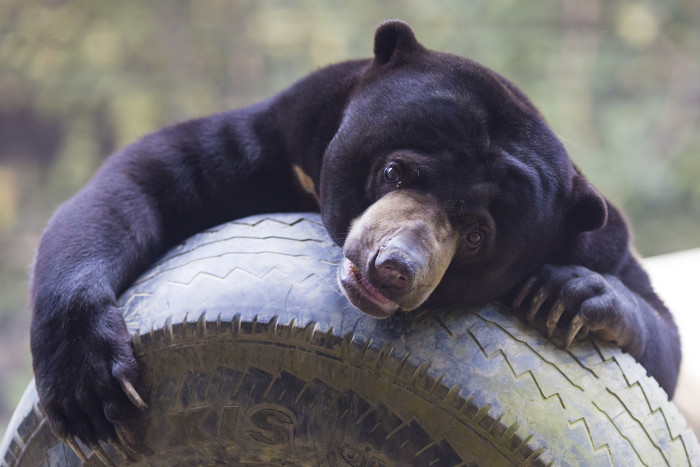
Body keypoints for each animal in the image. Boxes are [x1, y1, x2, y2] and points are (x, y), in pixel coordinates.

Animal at [30, 20, 680, 448]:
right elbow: (142, 180)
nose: (393, 267)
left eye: (476, 234)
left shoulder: (599, 236)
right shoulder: (275, 143)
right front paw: (88, 390)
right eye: (396, 171)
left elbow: (663, 342)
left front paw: (568, 295)